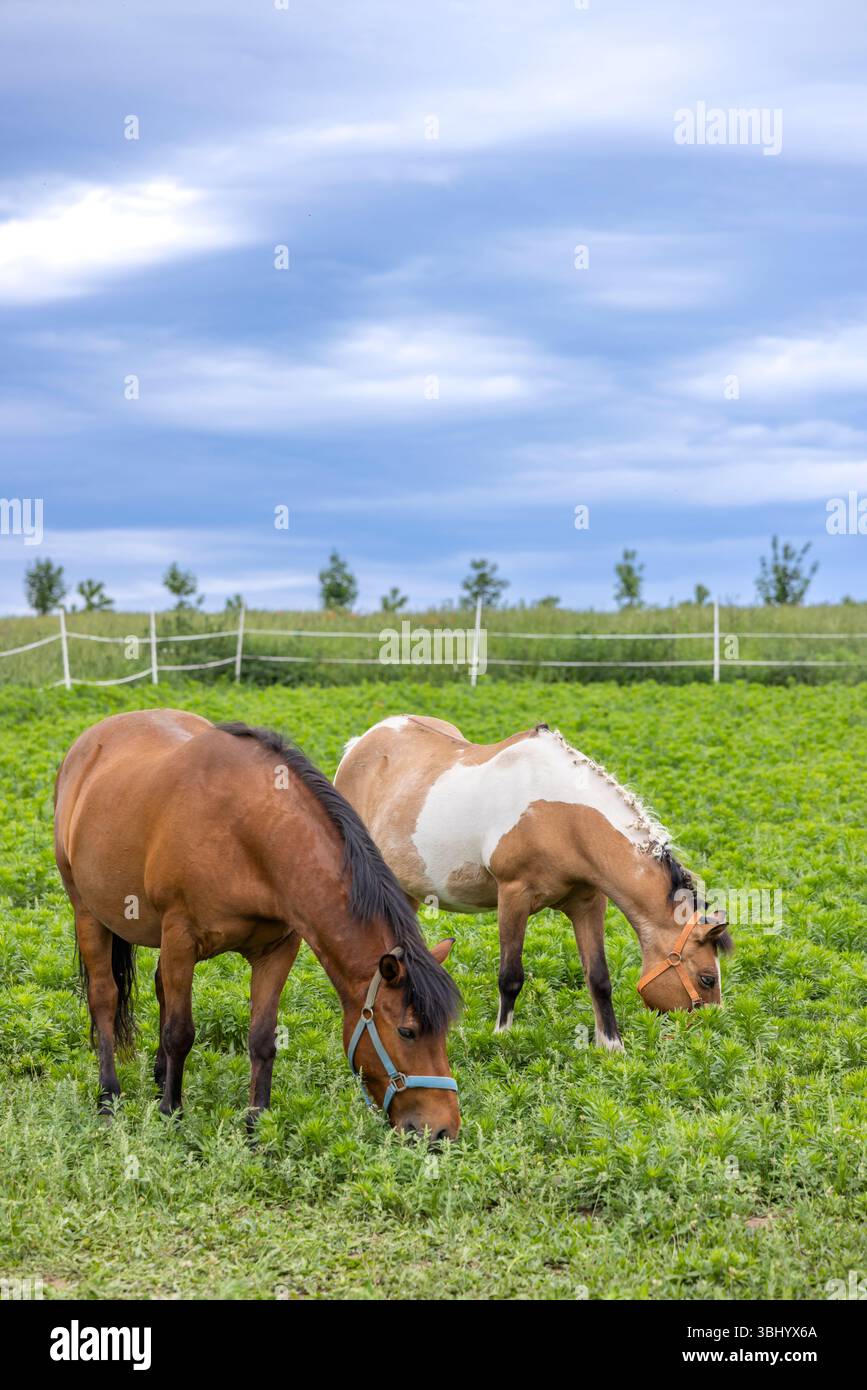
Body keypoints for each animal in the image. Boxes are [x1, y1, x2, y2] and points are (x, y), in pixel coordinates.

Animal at [54, 710, 461, 1140]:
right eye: (407, 1031)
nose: (443, 1131)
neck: (246, 834)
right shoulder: (181, 938)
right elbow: (180, 1033)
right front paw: (171, 1113)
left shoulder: (277, 950)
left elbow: (263, 1038)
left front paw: (257, 1123)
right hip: (87, 913)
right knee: (104, 997)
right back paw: (108, 1098)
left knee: (161, 987)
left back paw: (160, 1077)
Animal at [334, 715, 732, 1049]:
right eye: (707, 979)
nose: (711, 1031)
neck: (561, 816)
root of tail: (360, 743)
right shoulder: (513, 896)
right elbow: (510, 975)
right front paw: (502, 1037)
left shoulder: (589, 903)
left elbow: (598, 977)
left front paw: (611, 1046)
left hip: (408, 890)